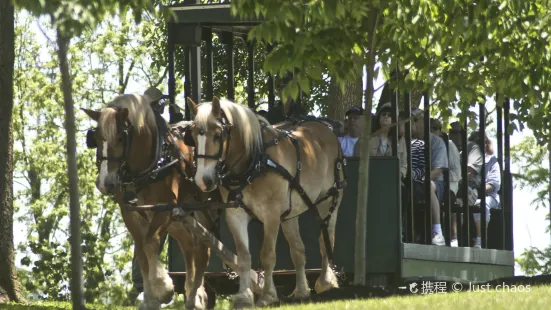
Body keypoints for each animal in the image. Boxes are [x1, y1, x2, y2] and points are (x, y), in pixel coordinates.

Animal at [83, 94, 215, 310]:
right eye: (96, 139)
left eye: (120, 138)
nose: (105, 183)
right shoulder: (130, 212)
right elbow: (142, 252)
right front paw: (151, 298)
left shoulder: (163, 208)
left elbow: (150, 243)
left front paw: (163, 289)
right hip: (178, 216)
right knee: (187, 242)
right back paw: (191, 292)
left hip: (201, 208)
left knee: (204, 249)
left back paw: (196, 296)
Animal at [184, 96, 344, 308]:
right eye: (193, 136)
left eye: (218, 135)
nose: (204, 180)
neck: (255, 163)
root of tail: (325, 128)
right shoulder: (236, 215)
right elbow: (244, 256)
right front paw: (244, 297)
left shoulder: (271, 215)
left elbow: (267, 256)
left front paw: (268, 295)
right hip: (290, 214)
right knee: (298, 251)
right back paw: (302, 291)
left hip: (329, 201)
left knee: (326, 240)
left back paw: (326, 282)